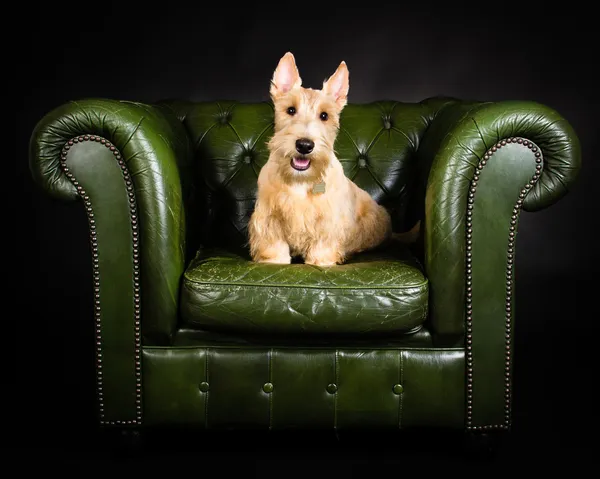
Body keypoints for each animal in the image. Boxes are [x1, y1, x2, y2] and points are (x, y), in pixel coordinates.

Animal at [247, 54, 418, 268]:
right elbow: (274, 245)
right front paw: (274, 260)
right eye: (291, 110)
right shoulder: (269, 217)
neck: (300, 182)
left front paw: (321, 261)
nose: (304, 145)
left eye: (324, 115)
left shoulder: (328, 222)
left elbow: (322, 246)